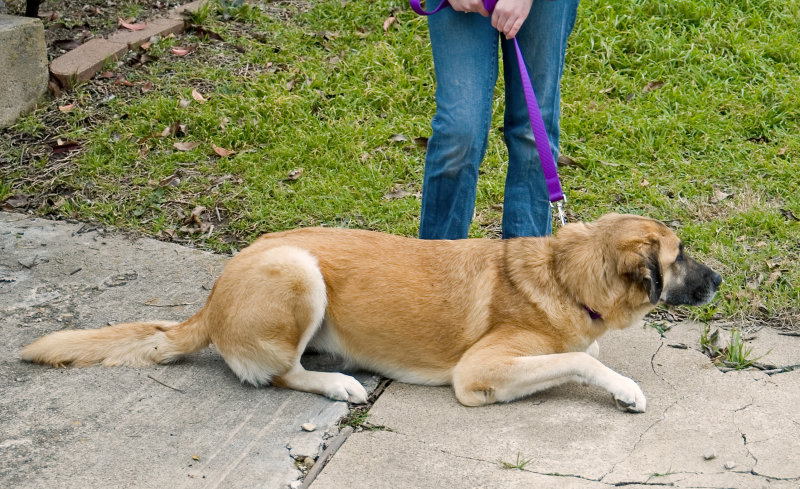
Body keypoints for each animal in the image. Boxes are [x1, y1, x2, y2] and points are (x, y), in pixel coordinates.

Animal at [20, 214, 720, 412]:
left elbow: (582, 351)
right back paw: (338, 383)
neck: (565, 274)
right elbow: (582, 359)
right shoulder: (477, 376)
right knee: (278, 374)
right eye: (682, 255)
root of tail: (211, 300)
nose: (718, 280)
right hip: (298, 270)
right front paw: (624, 388)